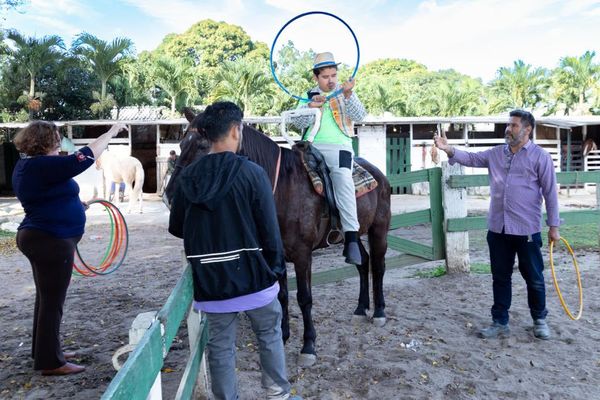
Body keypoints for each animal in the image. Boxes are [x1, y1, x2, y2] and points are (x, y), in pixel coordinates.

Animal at [164, 108, 392, 366]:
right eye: (181, 144)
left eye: (203, 145)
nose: (170, 196)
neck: (283, 188)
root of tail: (379, 174)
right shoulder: (276, 254)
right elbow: (282, 295)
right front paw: (283, 336)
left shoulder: (303, 255)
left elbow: (304, 298)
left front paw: (308, 346)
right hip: (351, 235)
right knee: (362, 262)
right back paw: (360, 309)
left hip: (379, 230)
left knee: (378, 267)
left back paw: (379, 312)